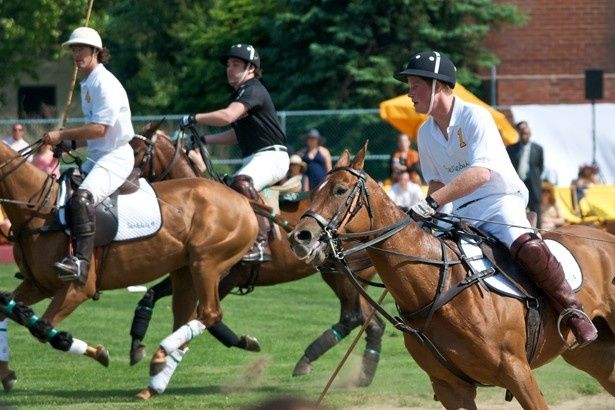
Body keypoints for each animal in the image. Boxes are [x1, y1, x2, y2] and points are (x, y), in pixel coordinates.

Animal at [0, 138, 258, 382]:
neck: (39, 211)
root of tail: (242, 200)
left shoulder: (78, 288)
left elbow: (43, 328)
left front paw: (94, 351)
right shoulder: (38, 285)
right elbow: (6, 308)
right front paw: (8, 375)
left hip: (206, 264)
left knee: (209, 314)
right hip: (185, 272)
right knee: (185, 320)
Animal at [130, 126, 384, 386]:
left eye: (138, 152)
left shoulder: (225, 277)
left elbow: (211, 320)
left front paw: (245, 341)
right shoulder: (192, 272)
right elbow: (150, 295)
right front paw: (137, 345)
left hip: (342, 274)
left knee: (352, 316)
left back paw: (308, 358)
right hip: (349, 277)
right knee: (373, 322)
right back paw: (365, 373)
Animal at [288, 143, 615, 406]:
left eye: (340, 190)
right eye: (313, 190)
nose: (298, 237)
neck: (439, 286)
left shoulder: (517, 370)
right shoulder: (450, 387)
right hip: (590, 354)